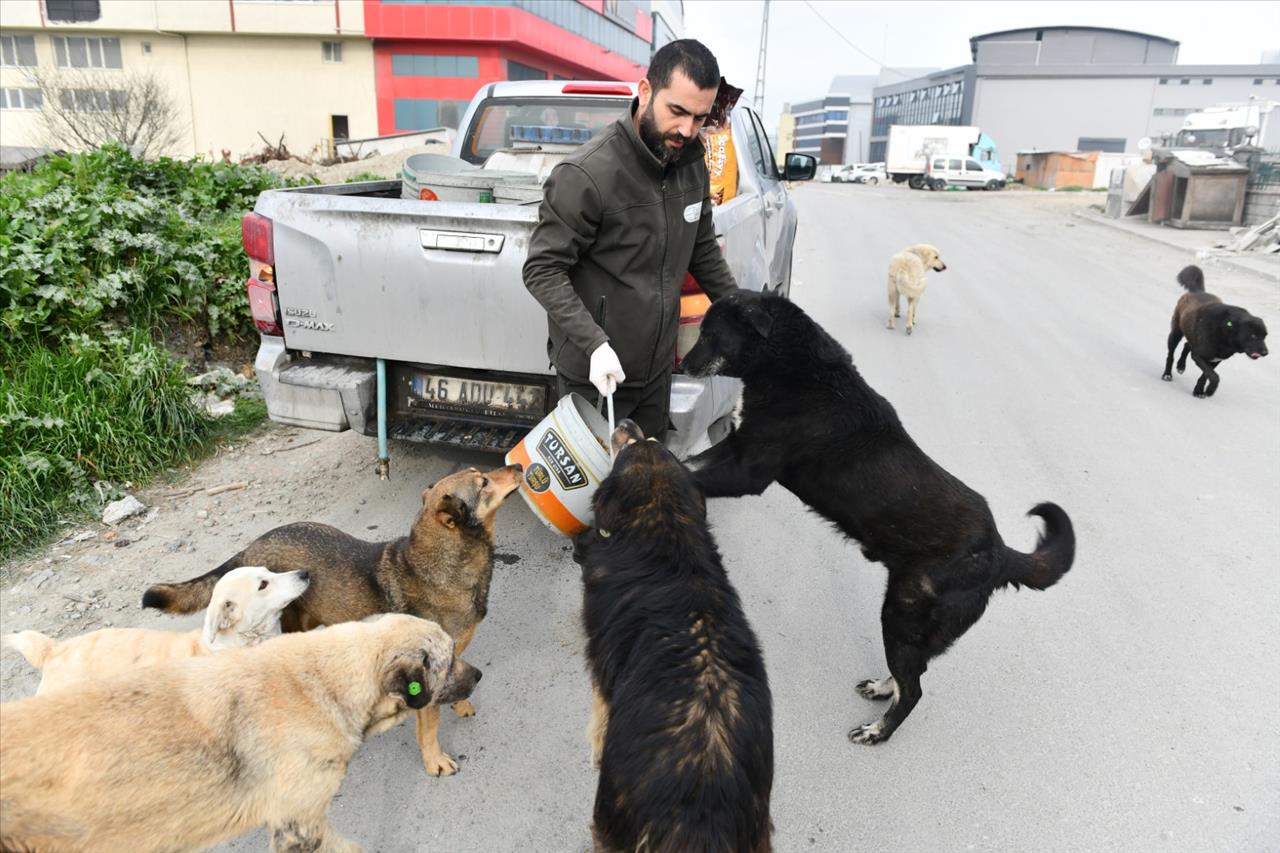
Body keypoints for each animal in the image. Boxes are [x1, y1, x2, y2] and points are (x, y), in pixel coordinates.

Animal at [140, 461, 519, 773]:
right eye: (484, 482)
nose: (515, 465)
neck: (443, 563)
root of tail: (251, 550)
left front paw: (461, 704)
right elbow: (430, 727)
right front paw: (435, 761)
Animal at [578, 420, 773, 850]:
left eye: (632, 446)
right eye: (649, 441)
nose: (627, 423)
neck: (666, 524)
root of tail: (701, 806)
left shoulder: (601, 664)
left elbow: (598, 711)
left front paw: (594, 743)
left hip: (608, 816)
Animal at [686, 289, 1075, 742]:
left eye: (709, 334)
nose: (682, 365)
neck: (797, 370)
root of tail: (998, 552)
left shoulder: (747, 472)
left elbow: (690, 473)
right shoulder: (735, 449)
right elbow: (690, 463)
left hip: (902, 615)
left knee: (915, 689)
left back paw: (878, 731)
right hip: (911, 624)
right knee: (913, 673)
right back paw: (882, 688)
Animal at [1162, 263, 1269, 397]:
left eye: (1265, 336)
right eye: (1253, 336)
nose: (1266, 353)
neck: (1227, 330)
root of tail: (1199, 291)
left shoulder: (1215, 360)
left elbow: (1206, 376)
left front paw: (1199, 390)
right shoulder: (1198, 356)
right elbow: (1214, 376)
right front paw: (1210, 390)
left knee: (1187, 345)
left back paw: (1181, 365)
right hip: (1175, 333)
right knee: (1171, 355)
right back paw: (1167, 374)